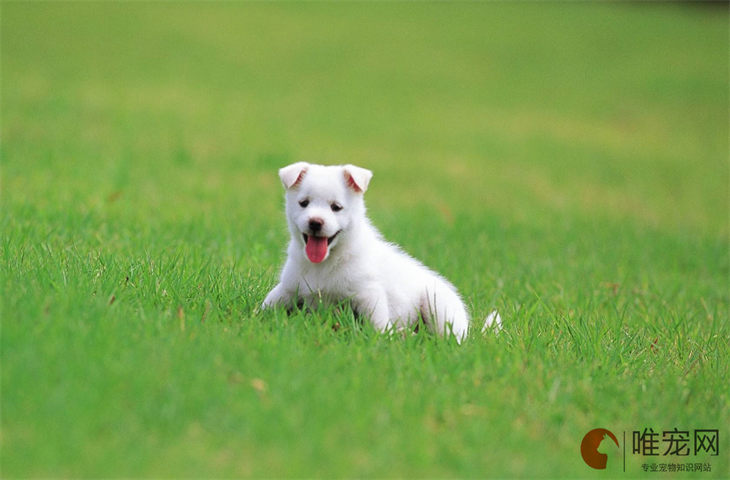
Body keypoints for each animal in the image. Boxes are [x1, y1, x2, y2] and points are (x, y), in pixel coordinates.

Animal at [258, 162, 498, 342]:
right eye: (303, 203)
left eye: (336, 207)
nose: (315, 222)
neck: (326, 263)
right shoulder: (289, 287)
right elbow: (268, 304)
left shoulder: (369, 294)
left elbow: (378, 325)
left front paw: (383, 338)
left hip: (438, 307)